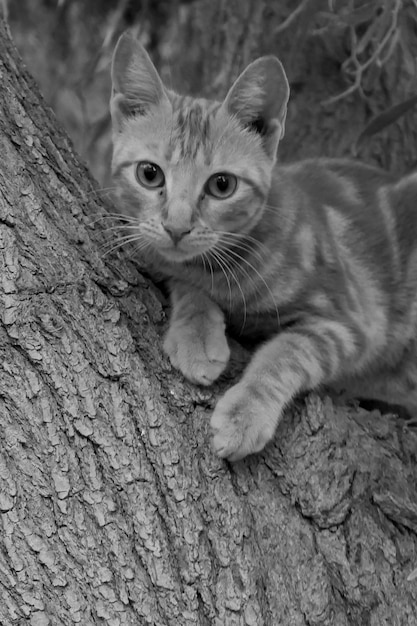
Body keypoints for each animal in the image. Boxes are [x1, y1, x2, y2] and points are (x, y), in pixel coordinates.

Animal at [109, 33, 416, 458]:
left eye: (222, 185)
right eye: (149, 174)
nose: (177, 227)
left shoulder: (352, 324)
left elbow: (284, 353)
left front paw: (245, 414)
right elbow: (183, 282)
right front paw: (196, 336)